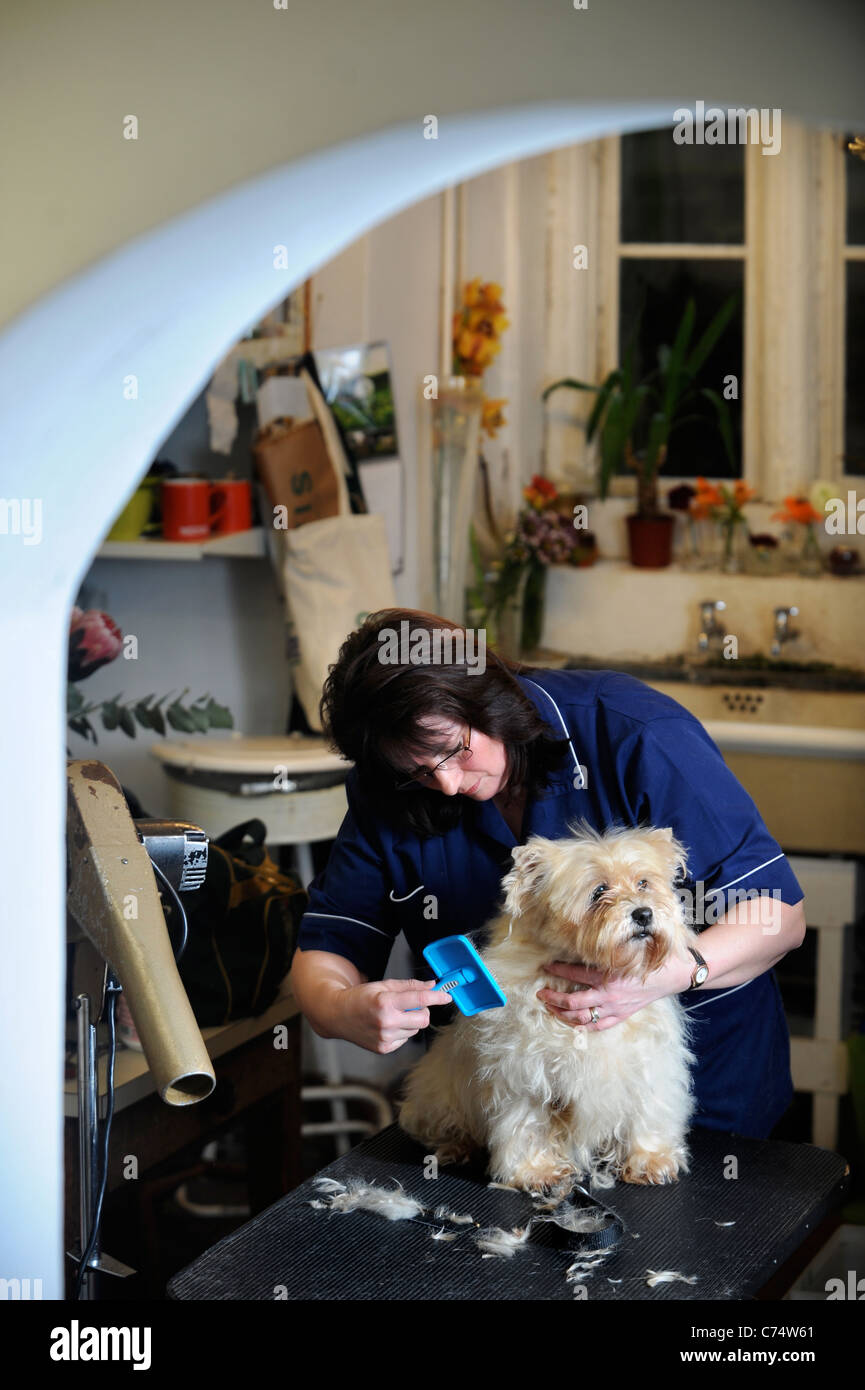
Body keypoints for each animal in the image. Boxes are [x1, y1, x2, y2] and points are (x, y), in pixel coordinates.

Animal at [403, 822, 700, 1195]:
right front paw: (536, 1171)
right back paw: (456, 1146)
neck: (582, 974)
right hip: (439, 1097)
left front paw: (650, 1159)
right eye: (599, 890)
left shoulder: (647, 1065)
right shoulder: (523, 1074)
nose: (644, 913)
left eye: (643, 883)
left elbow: (648, 1112)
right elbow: (527, 1124)